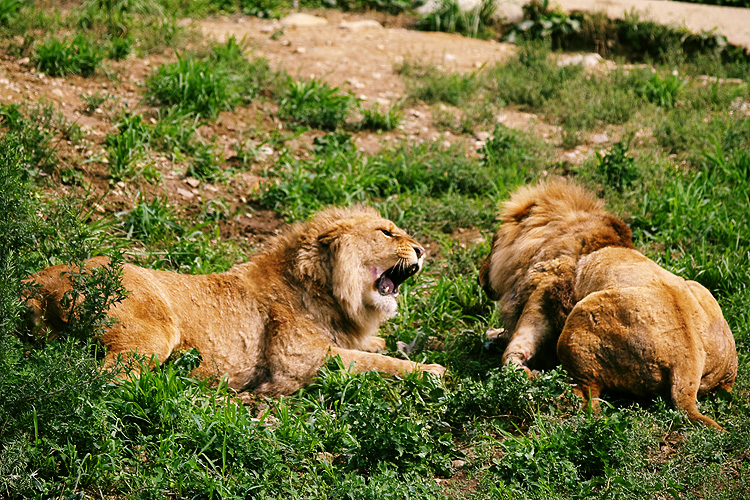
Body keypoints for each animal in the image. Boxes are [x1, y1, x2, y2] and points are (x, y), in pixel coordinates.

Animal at [23, 206, 446, 394]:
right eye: (387, 232)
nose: (422, 250)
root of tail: (37, 284)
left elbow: (372, 349)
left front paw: (386, 343)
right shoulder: (297, 363)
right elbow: (377, 364)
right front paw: (432, 371)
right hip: (155, 334)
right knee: (101, 381)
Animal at [482, 182, 740, 428]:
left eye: (492, 243)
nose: (481, 279)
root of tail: (688, 365)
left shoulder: (549, 286)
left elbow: (519, 342)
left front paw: (514, 368)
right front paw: (493, 335)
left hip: (580, 318)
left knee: (585, 397)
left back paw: (540, 384)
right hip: (700, 293)